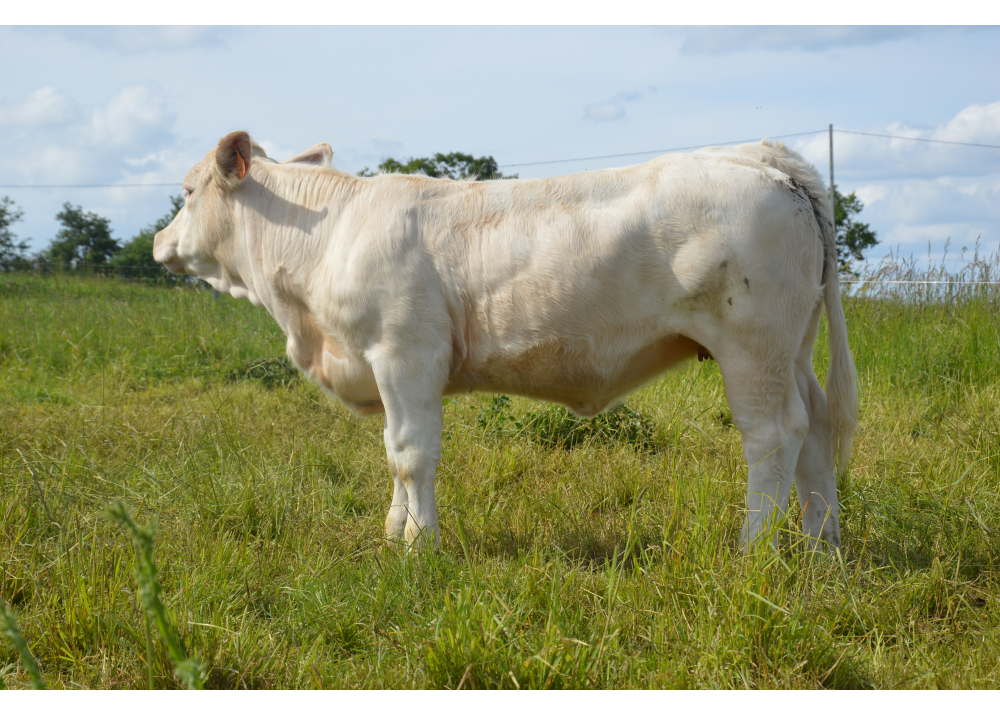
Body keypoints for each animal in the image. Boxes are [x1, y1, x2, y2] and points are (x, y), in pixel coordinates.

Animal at [154, 131, 860, 552]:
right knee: (817, 430)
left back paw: (754, 550)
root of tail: (760, 154)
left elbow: (412, 454)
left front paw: (421, 548)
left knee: (774, 437)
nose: (159, 241)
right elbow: (392, 452)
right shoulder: (386, 368)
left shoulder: (405, 353)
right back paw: (822, 547)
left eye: (187, 191)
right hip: (793, 350)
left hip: (753, 348)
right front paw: (393, 534)